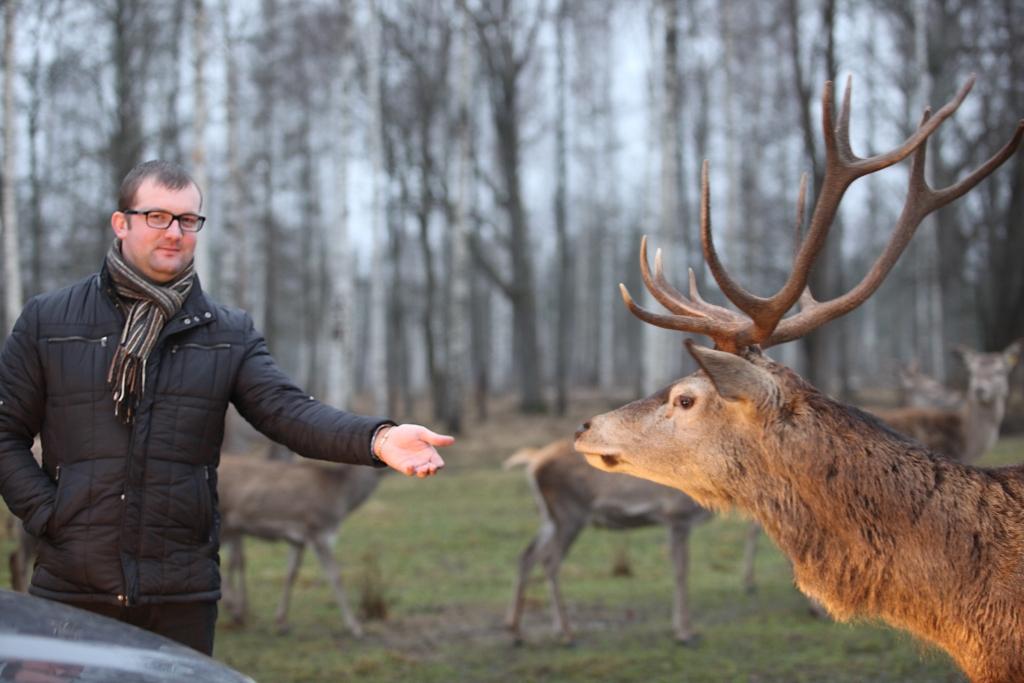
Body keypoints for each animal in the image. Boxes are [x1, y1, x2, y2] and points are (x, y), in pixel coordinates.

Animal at [219, 450, 387, 638]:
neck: (339, 499)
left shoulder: (298, 539)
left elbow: (291, 573)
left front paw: (281, 622)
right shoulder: (317, 530)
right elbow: (335, 575)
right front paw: (355, 627)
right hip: (224, 523)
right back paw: (234, 609)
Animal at [503, 438, 712, 647]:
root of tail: (534, 461)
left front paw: (687, 629)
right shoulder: (677, 517)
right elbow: (681, 571)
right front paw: (684, 633)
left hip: (550, 518)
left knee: (527, 556)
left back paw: (517, 632)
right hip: (570, 515)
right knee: (549, 561)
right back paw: (567, 633)